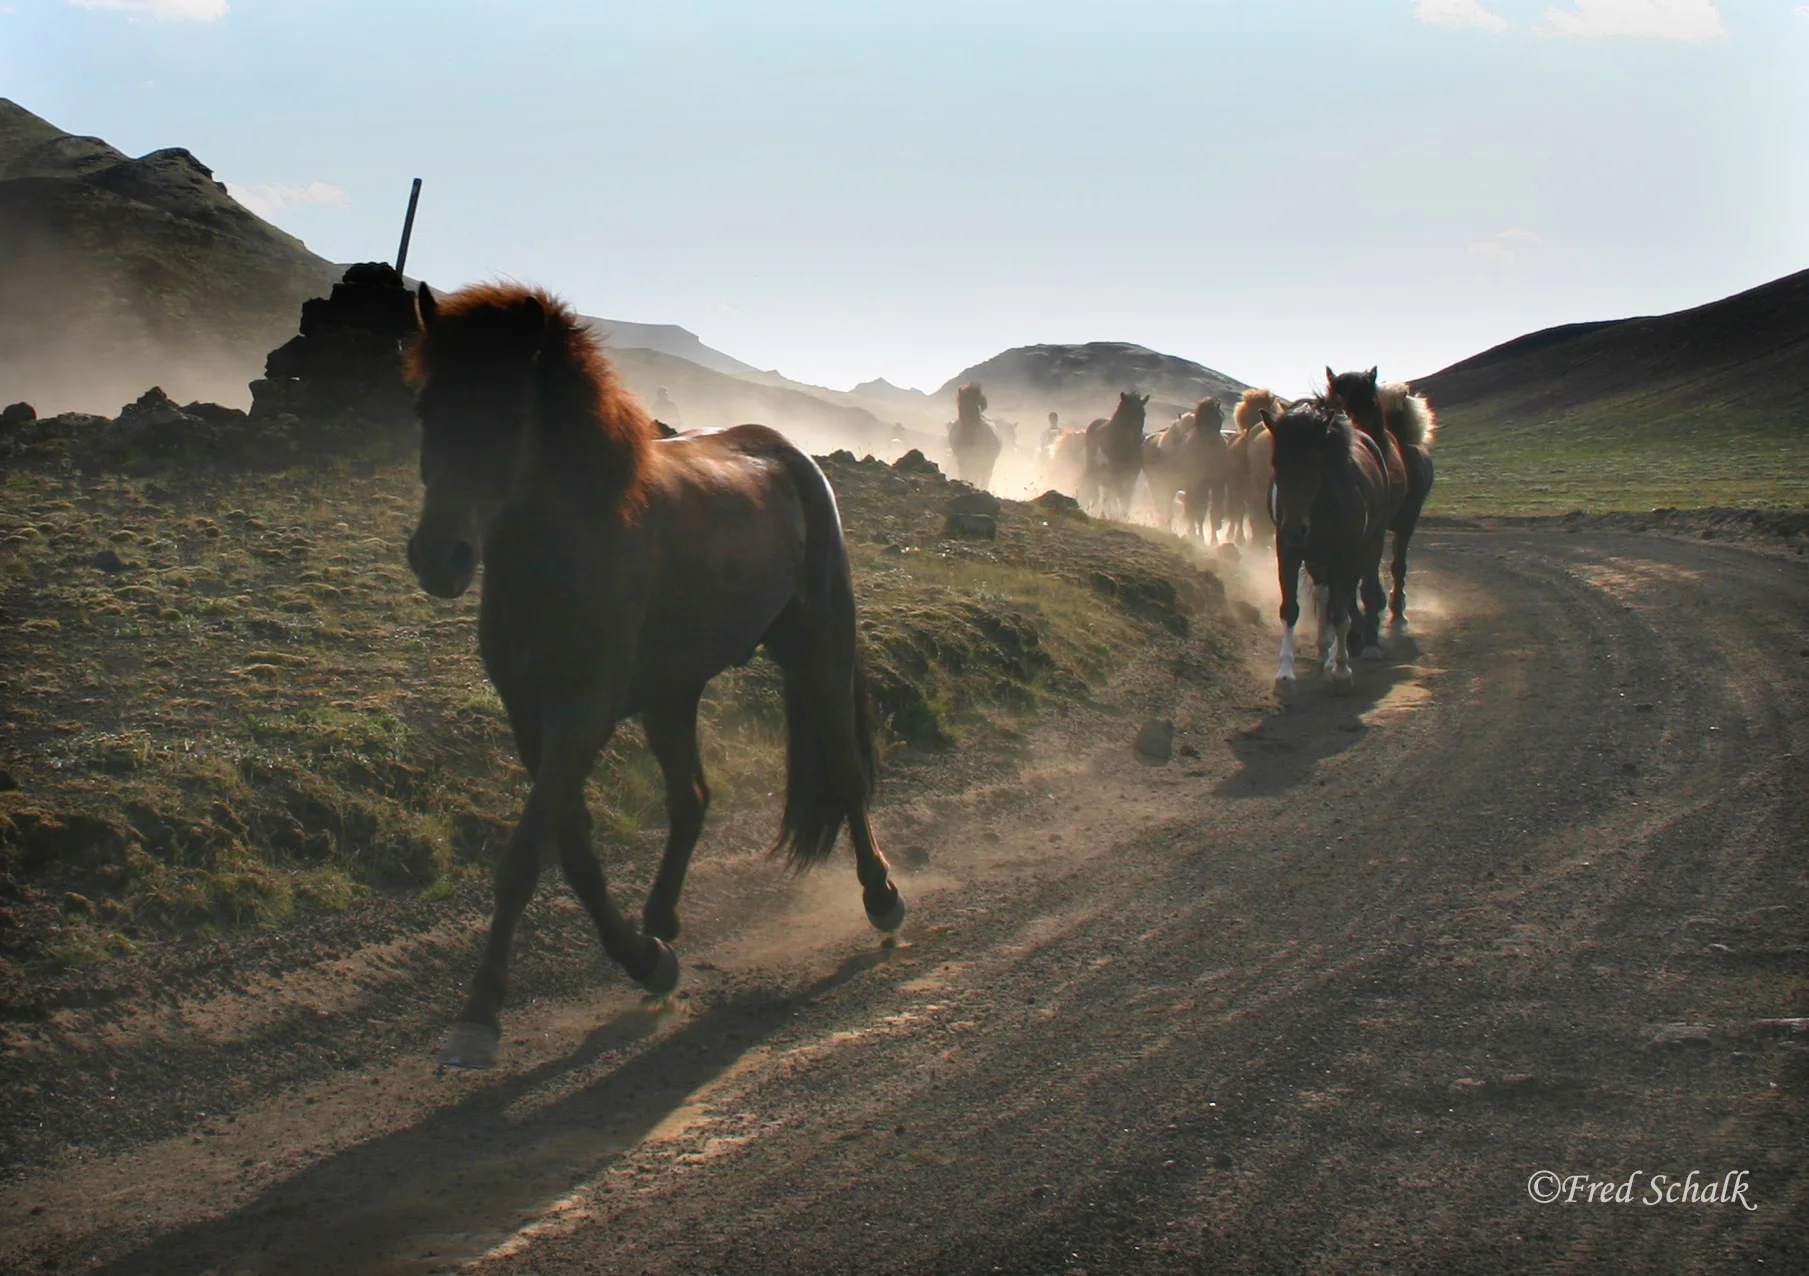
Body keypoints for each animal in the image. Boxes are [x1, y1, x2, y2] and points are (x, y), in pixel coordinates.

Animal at [407, 284, 904, 1071]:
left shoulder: (582, 713)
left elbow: (523, 857)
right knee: (692, 798)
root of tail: (787, 451)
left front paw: (478, 1016)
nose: (440, 558)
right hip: (673, 694)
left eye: (514, 415)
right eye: (426, 410)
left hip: (816, 649)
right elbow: (574, 853)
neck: (571, 545)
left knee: (847, 773)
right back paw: (661, 919)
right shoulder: (531, 718)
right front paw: (643, 959)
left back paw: (881, 896)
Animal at [1324, 365, 1432, 626]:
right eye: (1330, 403)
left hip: (1407, 520)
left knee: (1398, 563)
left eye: (1372, 403)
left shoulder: (1378, 525)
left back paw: (1396, 605)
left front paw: (1375, 600)